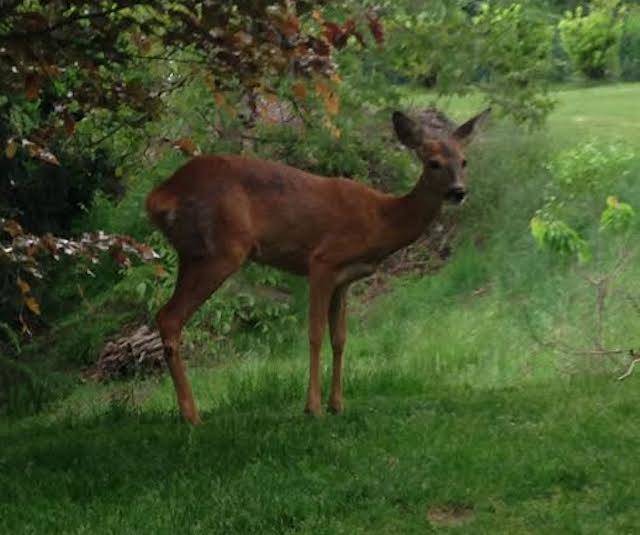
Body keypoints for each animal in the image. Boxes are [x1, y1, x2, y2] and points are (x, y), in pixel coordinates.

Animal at [146, 107, 490, 426]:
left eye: (464, 161)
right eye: (433, 163)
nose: (458, 192)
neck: (381, 220)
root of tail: (160, 196)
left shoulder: (345, 279)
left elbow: (340, 338)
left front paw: (338, 404)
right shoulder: (322, 261)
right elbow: (315, 333)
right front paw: (312, 407)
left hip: (191, 253)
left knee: (165, 314)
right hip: (224, 249)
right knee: (170, 317)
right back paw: (192, 414)